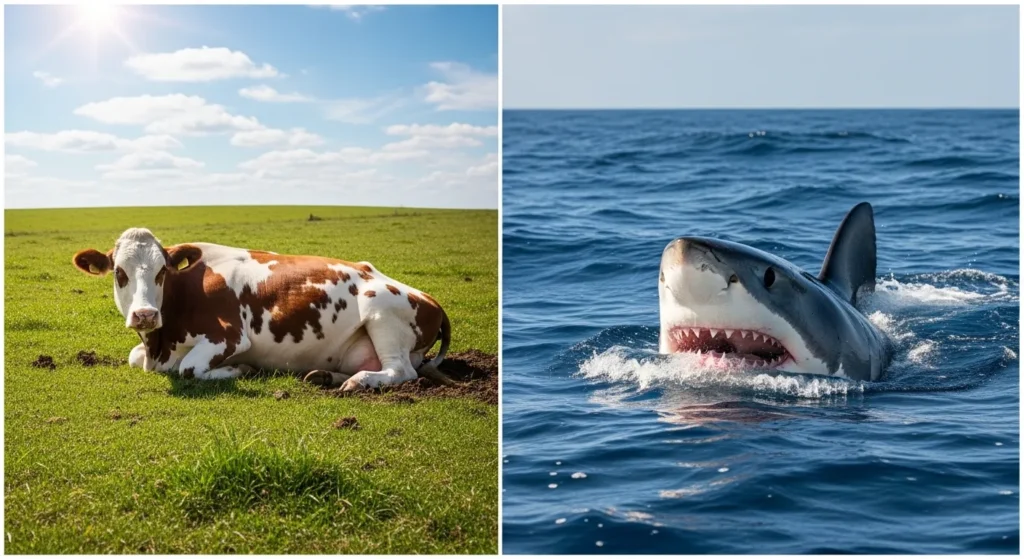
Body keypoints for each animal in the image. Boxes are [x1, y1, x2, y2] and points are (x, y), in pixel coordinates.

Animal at [71, 228, 452, 391]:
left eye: (161, 271)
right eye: (119, 273)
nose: (146, 314)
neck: (160, 345)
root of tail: (432, 300)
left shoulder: (229, 336)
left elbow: (190, 369)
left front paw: (240, 370)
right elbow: (133, 357)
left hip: (380, 308)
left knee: (401, 372)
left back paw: (359, 382)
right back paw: (324, 376)